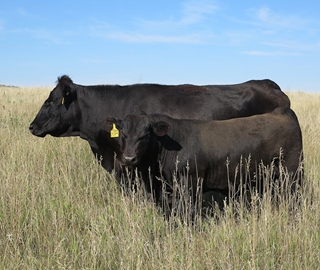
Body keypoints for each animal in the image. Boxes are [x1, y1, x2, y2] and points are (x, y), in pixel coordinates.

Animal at [106, 107, 304, 202]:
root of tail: (281, 112)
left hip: (292, 173)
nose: (129, 158)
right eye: (123, 134)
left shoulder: (190, 182)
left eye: (145, 135)